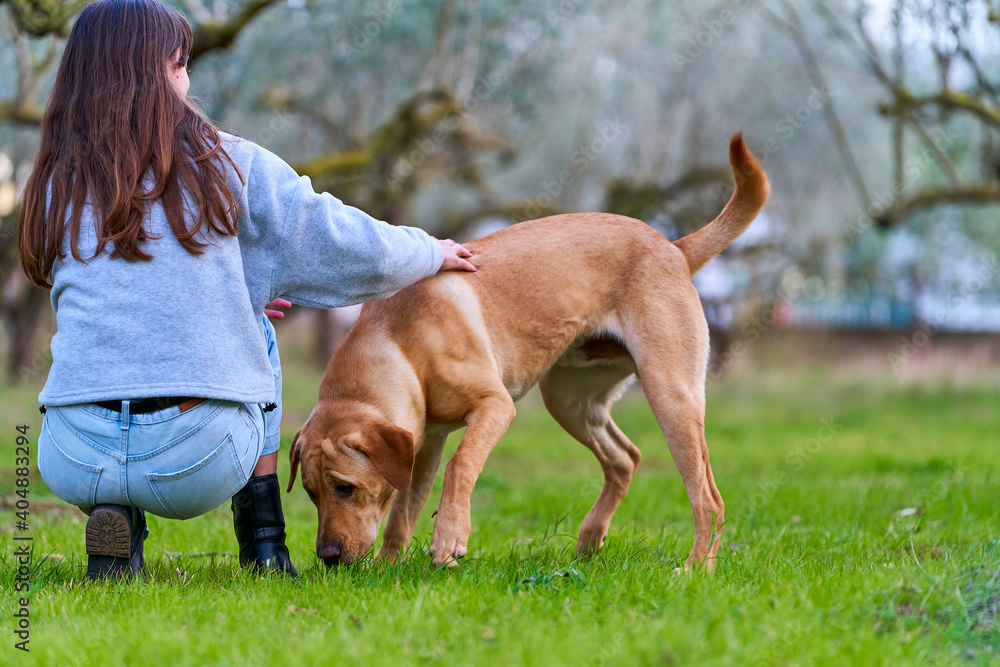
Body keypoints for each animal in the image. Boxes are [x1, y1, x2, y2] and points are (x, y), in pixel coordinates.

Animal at [290, 133, 772, 572]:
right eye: (311, 493)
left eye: (345, 487)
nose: (327, 557)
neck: (401, 342)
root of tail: (674, 248)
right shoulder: (423, 441)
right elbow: (402, 512)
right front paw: (388, 567)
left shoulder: (494, 406)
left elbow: (461, 465)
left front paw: (449, 537)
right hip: (569, 400)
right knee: (625, 458)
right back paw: (590, 538)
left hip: (670, 394)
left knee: (708, 498)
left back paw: (696, 568)